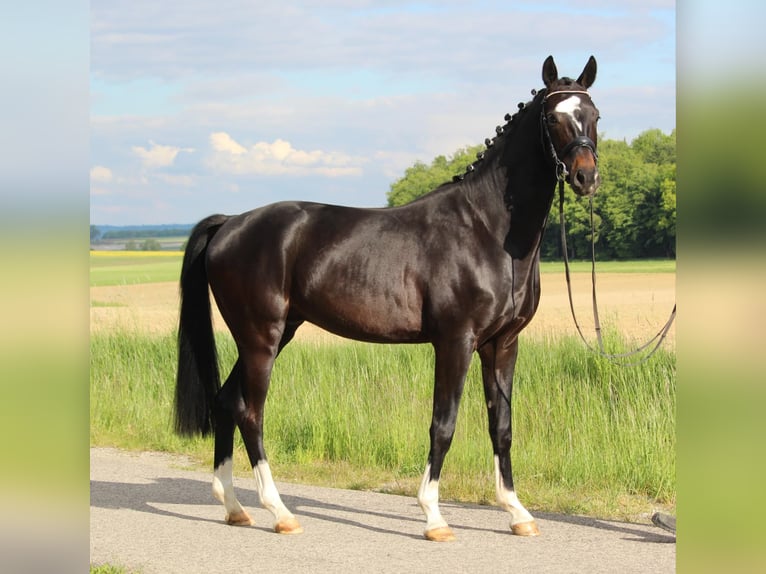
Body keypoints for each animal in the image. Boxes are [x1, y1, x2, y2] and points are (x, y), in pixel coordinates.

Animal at [175, 55, 600, 541]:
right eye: (553, 118)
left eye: (594, 114)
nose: (586, 176)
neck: (486, 229)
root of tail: (230, 223)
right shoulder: (455, 342)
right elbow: (443, 425)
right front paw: (433, 517)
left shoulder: (502, 344)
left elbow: (502, 426)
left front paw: (517, 512)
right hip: (260, 339)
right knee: (250, 412)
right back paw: (279, 512)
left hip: (272, 336)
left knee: (226, 402)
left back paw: (234, 507)